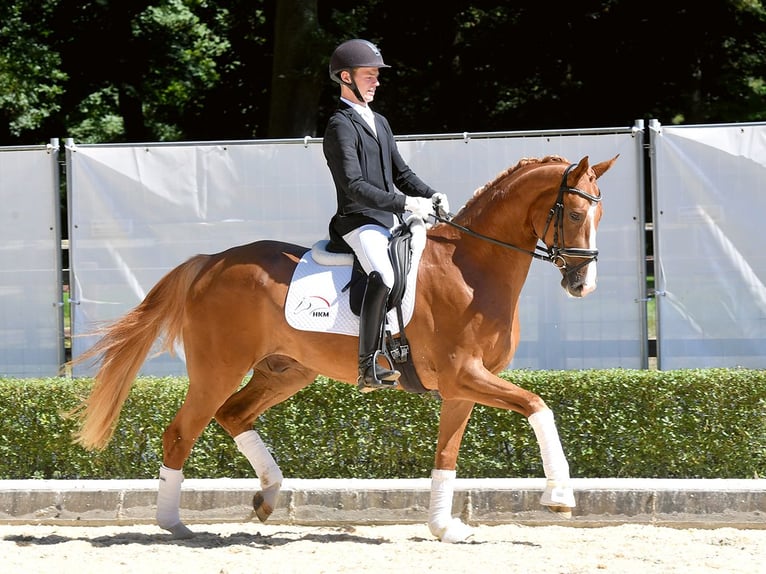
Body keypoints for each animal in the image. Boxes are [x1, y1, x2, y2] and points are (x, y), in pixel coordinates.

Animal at [70, 154, 616, 544]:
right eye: (572, 212)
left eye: (601, 212)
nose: (583, 284)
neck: (472, 268)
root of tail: (211, 261)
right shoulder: (464, 375)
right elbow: (538, 405)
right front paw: (560, 496)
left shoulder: (463, 387)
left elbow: (448, 454)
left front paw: (444, 528)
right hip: (218, 369)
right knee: (181, 432)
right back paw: (174, 524)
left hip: (286, 370)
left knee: (234, 415)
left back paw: (267, 497)